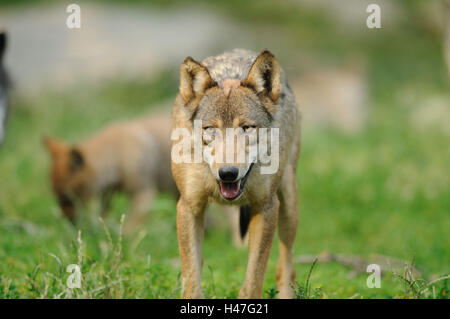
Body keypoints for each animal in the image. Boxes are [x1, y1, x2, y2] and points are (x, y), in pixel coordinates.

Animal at [44, 114, 178, 231]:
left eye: (67, 197)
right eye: (57, 197)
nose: (68, 222)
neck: (116, 155)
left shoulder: (142, 192)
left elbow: (134, 222)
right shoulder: (108, 194)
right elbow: (104, 214)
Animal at [172, 48, 302, 298]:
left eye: (246, 128)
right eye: (210, 129)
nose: (228, 173)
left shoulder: (266, 206)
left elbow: (253, 280)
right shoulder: (189, 206)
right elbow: (192, 279)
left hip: (289, 206)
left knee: (286, 266)